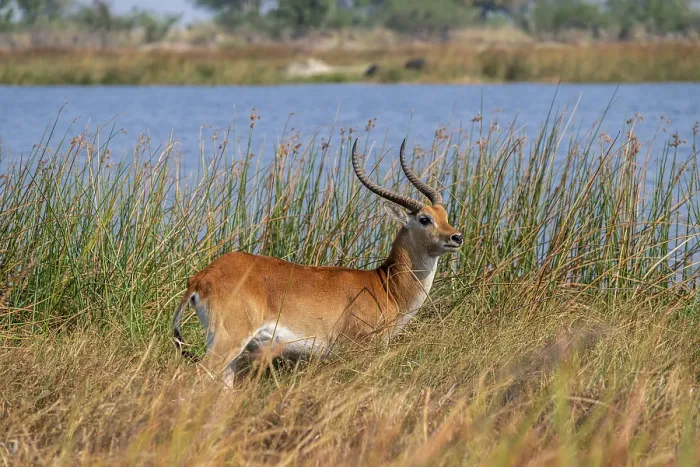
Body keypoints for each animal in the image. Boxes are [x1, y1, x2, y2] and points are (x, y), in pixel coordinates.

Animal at [173, 138, 463, 385]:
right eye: (424, 219)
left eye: (445, 214)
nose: (456, 237)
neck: (385, 286)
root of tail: (200, 278)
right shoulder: (359, 349)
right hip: (227, 342)